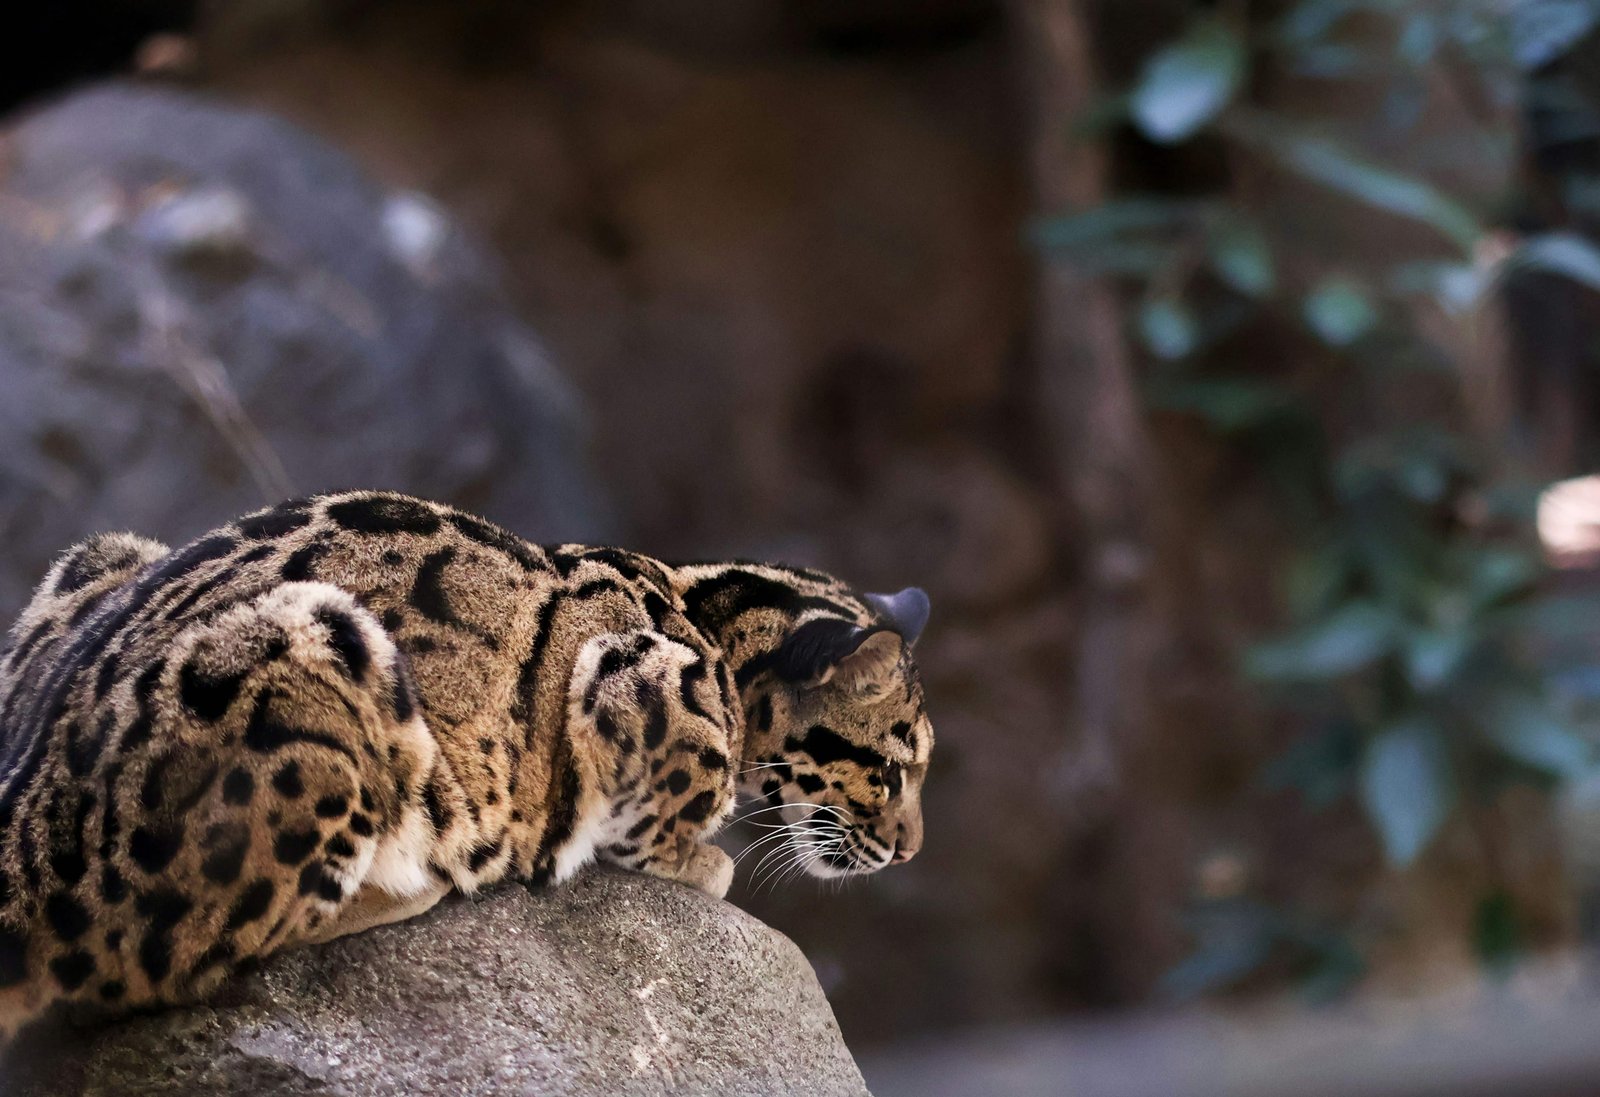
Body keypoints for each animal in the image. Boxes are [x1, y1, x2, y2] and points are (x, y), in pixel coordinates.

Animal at [0, 491, 933, 1045]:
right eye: (895, 769)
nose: (913, 850)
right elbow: (653, 828)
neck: (709, 609)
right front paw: (704, 858)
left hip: (100, 553)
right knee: (183, 962)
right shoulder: (638, 678)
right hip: (313, 655)